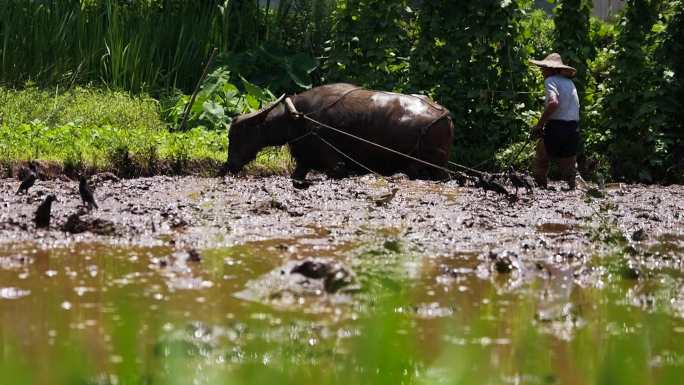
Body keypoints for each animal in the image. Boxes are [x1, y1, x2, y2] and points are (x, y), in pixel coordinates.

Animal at [227, 82, 456, 180]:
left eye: (238, 135)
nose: (228, 165)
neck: (298, 117)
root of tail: (444, 115)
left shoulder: (333, 160)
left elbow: (337, 170)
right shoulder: (304, 159)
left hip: (430, 165)